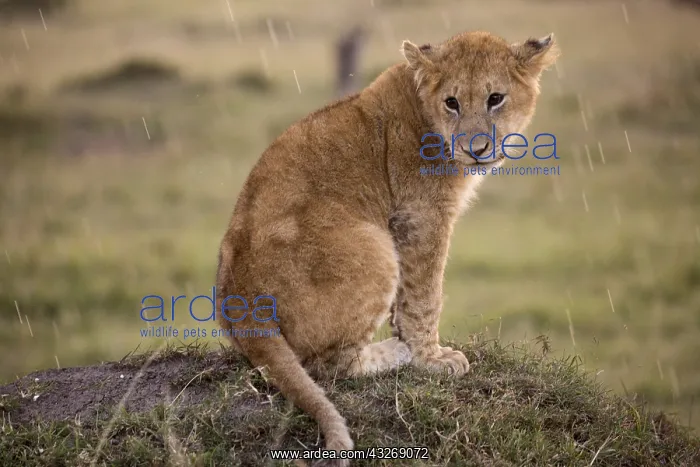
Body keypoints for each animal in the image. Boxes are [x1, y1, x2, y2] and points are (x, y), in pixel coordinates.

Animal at [215, 30, 559, 465]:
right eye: (452, 102)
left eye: (495, 98)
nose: (477, 149)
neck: (424, 109)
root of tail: (238, 299)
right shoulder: (422, 216)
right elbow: (426, 295)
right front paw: (432, 359)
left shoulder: (406, 225)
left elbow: (408, 299)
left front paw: (411, 338)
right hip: (372, 246)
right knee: (327, 366)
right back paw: (395, 353)